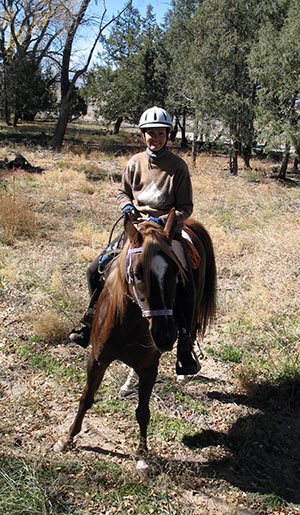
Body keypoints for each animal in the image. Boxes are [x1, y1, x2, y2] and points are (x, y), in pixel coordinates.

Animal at [54, 209, 217, 472]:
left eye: (175, 274)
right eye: (138, 274)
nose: (164, 336)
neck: (128, 322)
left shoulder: (150, 367)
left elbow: (143, 411)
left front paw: (142, 455)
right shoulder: (97, 359)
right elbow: (86, 398)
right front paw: (66, 438)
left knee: (190, 332)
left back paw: (185, 368)